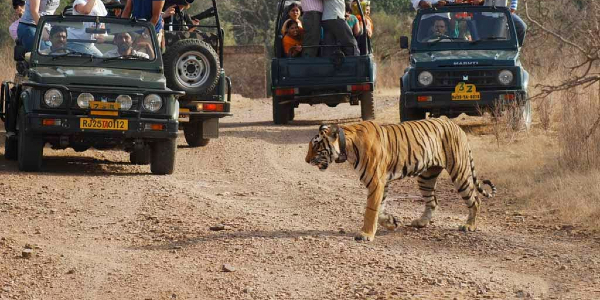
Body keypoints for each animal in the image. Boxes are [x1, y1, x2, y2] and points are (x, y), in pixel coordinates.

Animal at [304, 117, 496, 241]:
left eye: (316, 145)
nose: (306, 160)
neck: (347, 147)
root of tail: (456, 125)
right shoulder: (382, 183)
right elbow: (379, 209)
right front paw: (391, 223)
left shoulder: (376, 181)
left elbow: (370, 210)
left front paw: (366, 234)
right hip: (426, 177)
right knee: (433, 201)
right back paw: (421, 222)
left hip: (459, 172)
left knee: (475, 199)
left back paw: (469, 226)